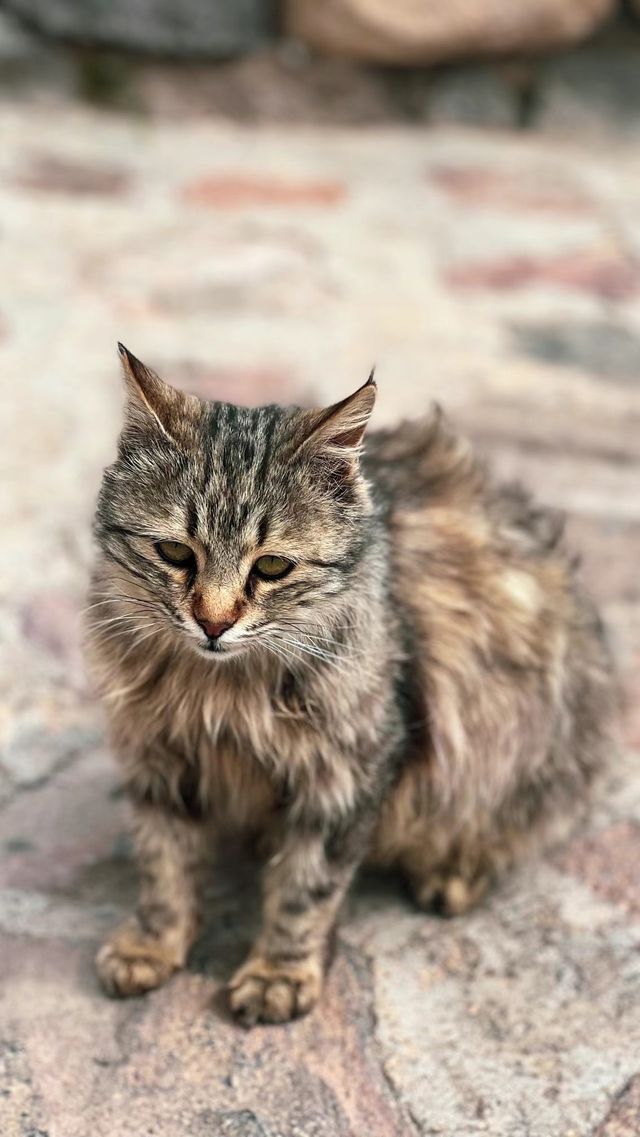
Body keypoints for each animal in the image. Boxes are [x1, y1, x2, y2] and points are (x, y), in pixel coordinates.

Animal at [85, 341, 613, 1027]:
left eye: (272, 567)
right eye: (176, 554)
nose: (213, 622)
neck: (219, 692)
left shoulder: (347, 771)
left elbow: (304, 891)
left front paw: (277, 975)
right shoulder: (159, 761)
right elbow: (164, 867)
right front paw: (151, 945)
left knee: (512, 827)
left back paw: (453, 873)